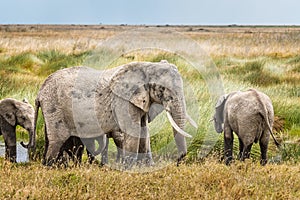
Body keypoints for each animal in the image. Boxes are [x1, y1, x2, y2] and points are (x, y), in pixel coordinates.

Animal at [23, 61, 197, 167]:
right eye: (162, 89)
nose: (178, 161)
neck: (147, 66)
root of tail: (40, 93)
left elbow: (144, 132)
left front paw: (147, 167)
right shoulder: (122, 100)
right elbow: (133, 131)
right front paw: (129, 168)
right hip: (55, 108)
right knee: (57, 140)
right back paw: (50, 166)